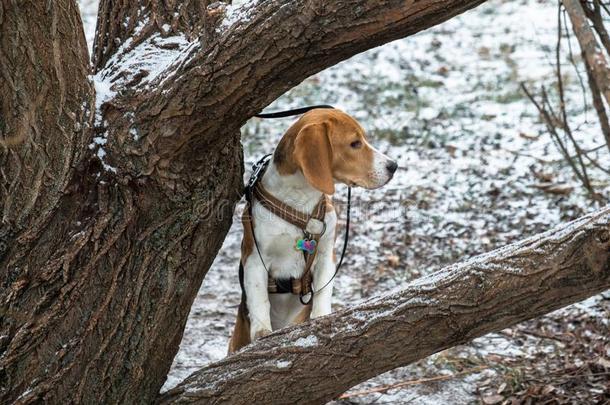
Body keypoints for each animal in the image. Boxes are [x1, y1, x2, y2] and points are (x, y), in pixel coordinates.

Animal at [228, 109, 394, 352]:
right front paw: (261, 332)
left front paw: (321, 317)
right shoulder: (254, 257)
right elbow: (259, 296)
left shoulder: (326, 254)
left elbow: (324, 289)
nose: (394, 166)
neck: (300, 198)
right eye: (354, 143)